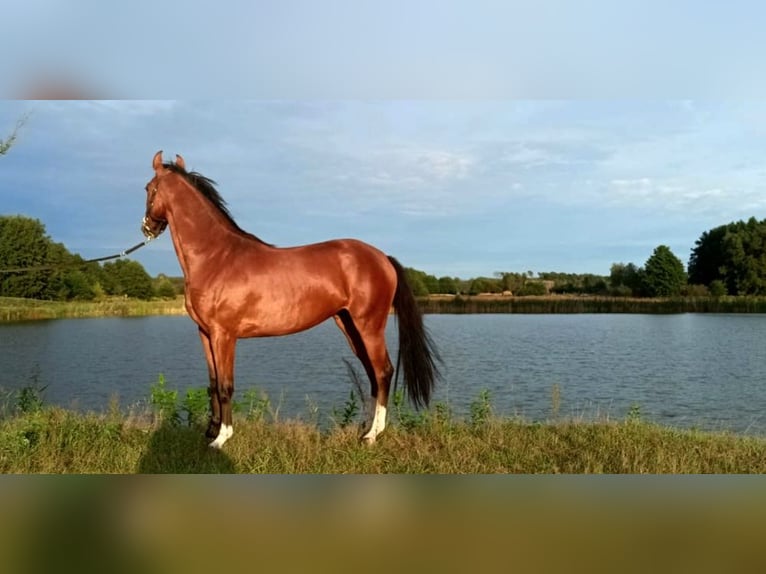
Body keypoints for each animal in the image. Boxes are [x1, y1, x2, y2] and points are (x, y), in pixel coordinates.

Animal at [142, 152, 440, 450]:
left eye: (148, 188)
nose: (147, 227)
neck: (217, 256)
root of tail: (383, 258)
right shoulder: (205, 333)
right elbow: (213, 383)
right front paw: (210, 431)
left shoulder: (223, 335)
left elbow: (226, 386)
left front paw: (221, 438)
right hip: (350, 326)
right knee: (372, 375)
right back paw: (365, 429)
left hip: (369, 326)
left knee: (383, 372)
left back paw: (372, 435)